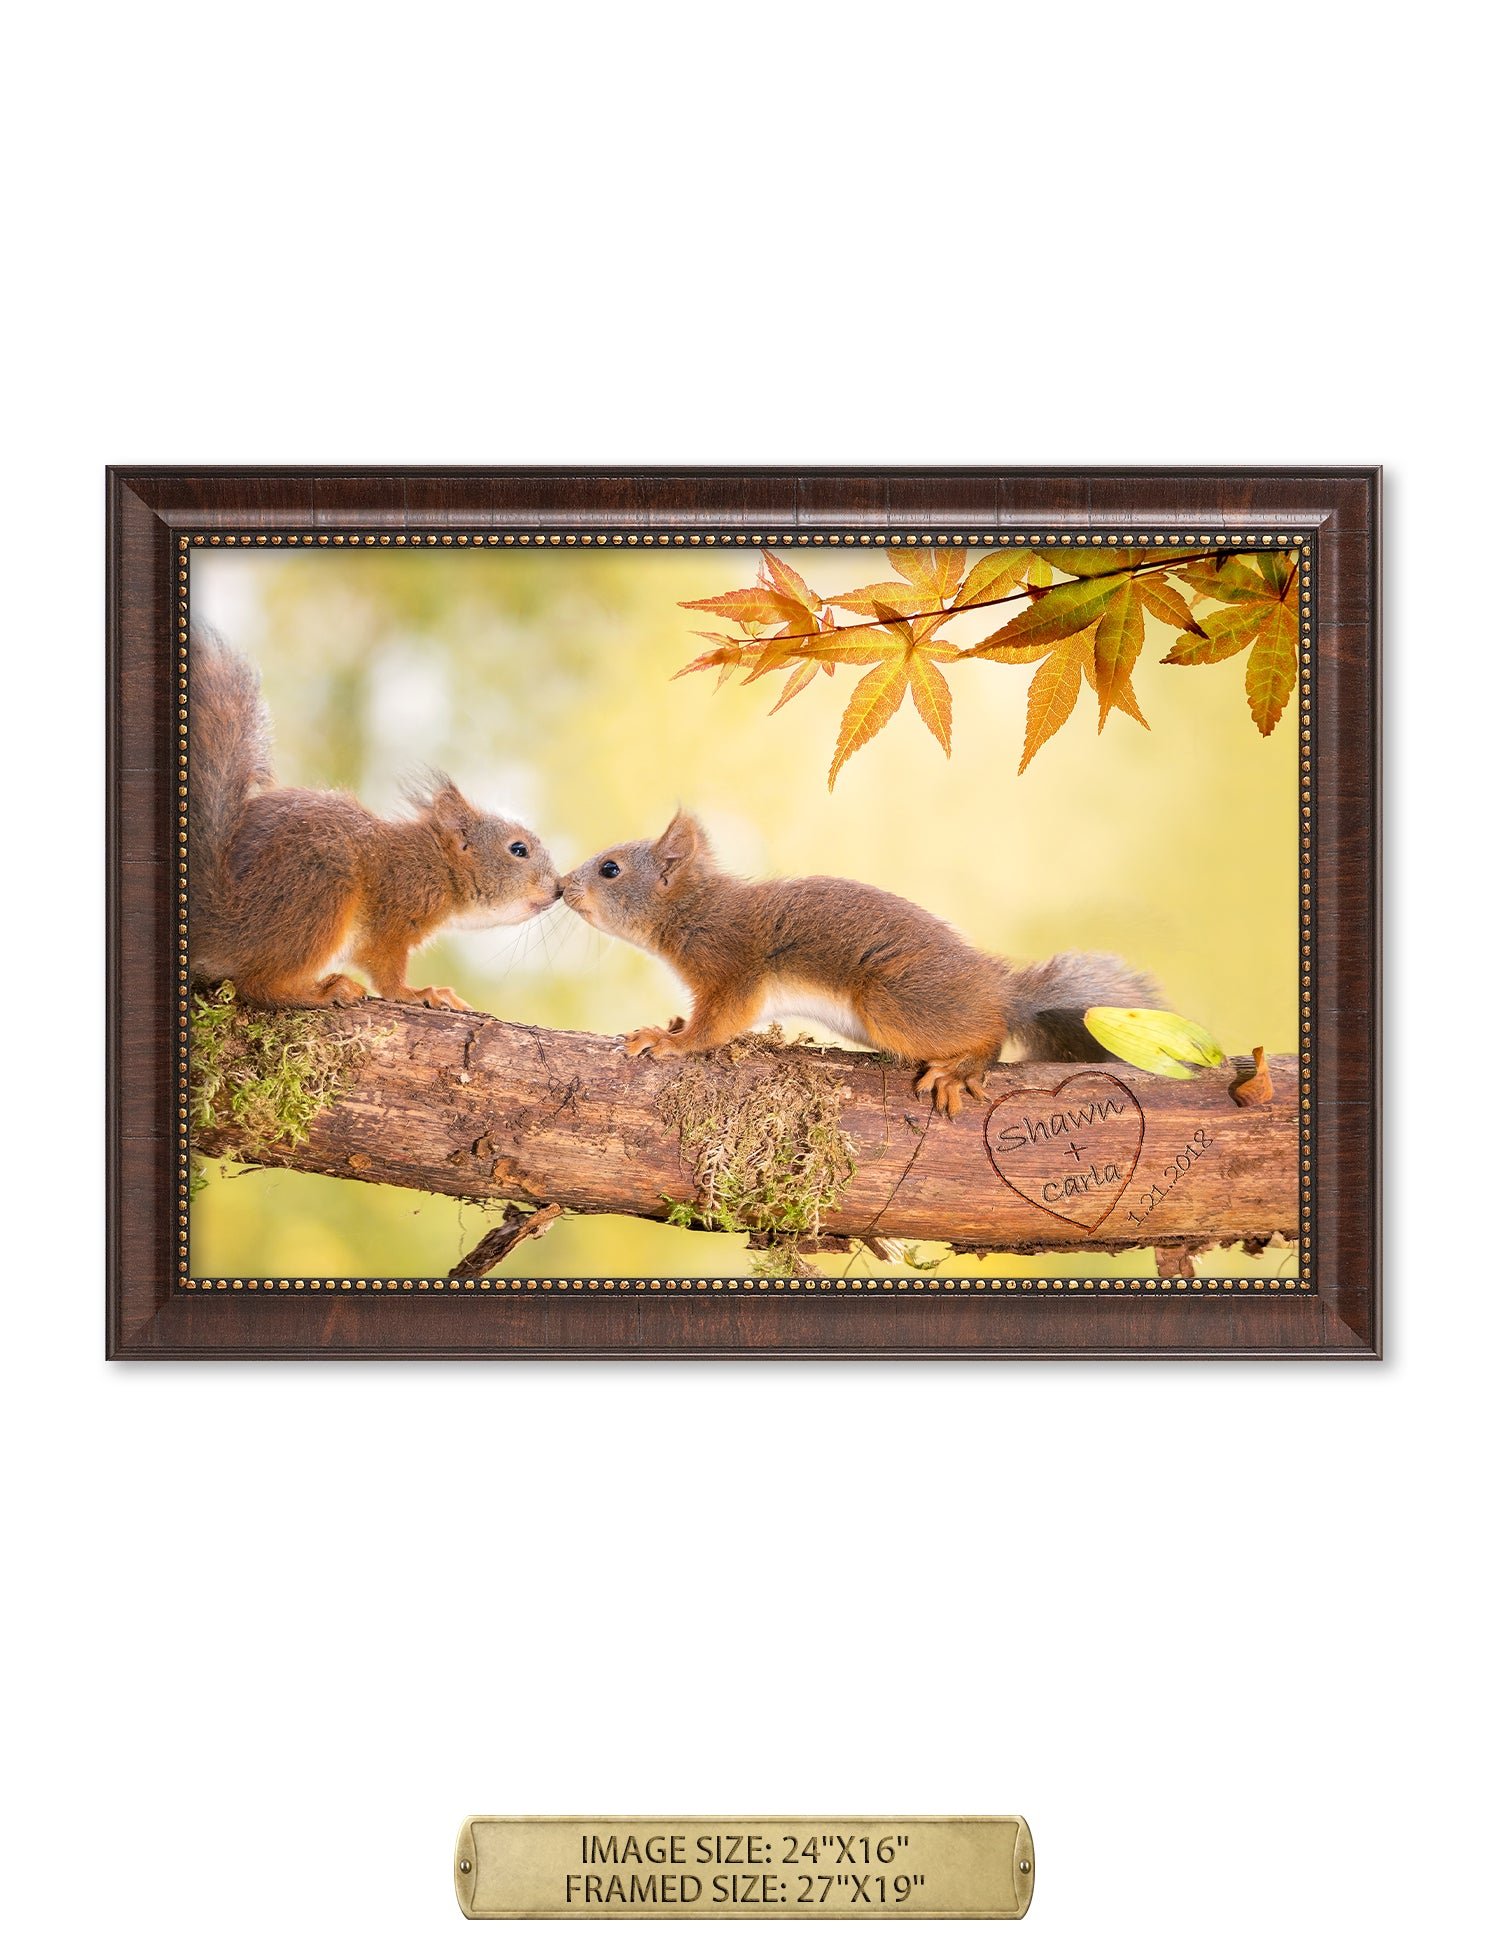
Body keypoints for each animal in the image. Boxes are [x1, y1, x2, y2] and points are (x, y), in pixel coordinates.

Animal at [188, 625, 561, 1009]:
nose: (559, 888)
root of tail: (222, 917)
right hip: (320, 895)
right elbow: (384, 967)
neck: (437, 865)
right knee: (256, 984)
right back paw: (326, 990)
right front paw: (417, 993)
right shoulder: (394, 915)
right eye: (518, 849)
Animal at [560, 811, 1163, 1116]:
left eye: (610, 869)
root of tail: (999, 991)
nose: (563, 887)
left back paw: (962, 1067)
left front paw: (670, 1042)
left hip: (895, 1003)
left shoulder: (733, 967)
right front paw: (673, 1023)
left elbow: (719, 1024)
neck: (693, 910)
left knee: (988, 1035)